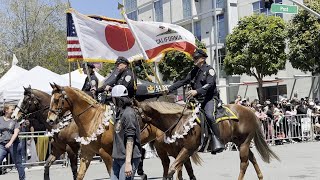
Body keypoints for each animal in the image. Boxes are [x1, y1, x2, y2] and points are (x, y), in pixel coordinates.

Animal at [46, 83, 201, 179]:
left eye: (58, 99)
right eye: (51, 99)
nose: (50, 120)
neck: (92, 119)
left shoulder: (105, 153)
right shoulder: (86, 153)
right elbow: (79, 175)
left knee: (178, 163)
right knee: (178, 163)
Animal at [138, 100, 280, 179]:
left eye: (137, 116)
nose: (134, 139)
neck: (180, 122)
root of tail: (250, 111)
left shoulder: (186, 150)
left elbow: (174, 169)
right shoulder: (181, 153)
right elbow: (185, 171)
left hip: (244, 142)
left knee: (244, 163)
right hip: (239, 142)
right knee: (252, 158)